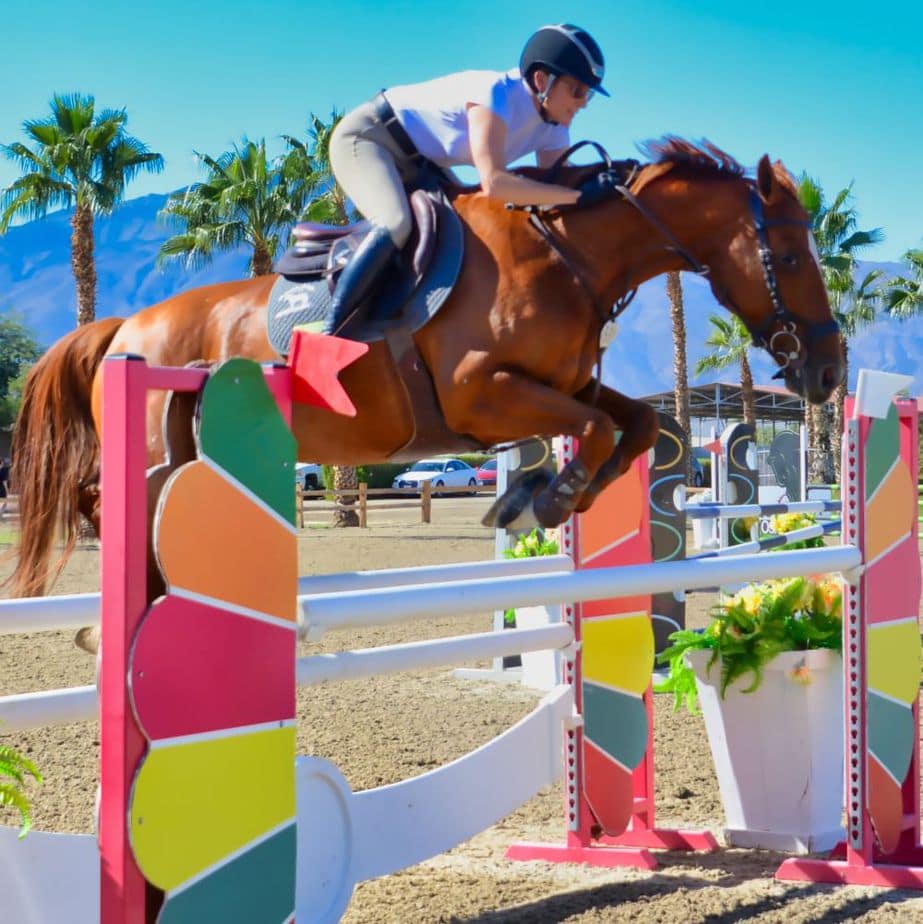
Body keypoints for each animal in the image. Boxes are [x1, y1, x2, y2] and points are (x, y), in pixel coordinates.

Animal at [5, 137, 844, 600]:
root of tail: (122, 325)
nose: (830, 371)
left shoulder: (561, 385)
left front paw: (543, 497)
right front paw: (545, 497)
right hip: (153, 438)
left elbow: (633, 423)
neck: (567, 258)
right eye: (789, 255)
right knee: (102, 496)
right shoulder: (482, 394)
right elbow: (598, 426)